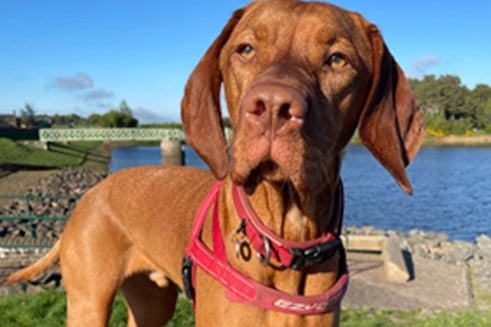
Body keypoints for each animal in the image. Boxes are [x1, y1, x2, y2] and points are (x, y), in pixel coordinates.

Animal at [1, 1, 422, 326]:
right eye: (246, 49)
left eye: (338, 60)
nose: (272, 106)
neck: (285, 239)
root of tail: (92, 191)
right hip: (89, 302)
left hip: (152, 302)